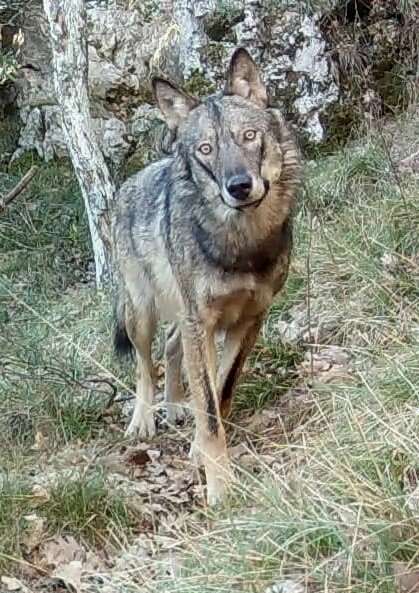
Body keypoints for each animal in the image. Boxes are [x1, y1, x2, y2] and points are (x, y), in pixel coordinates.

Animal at [112, 49, 302, 504]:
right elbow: (210, 409)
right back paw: (144, 419)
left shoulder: (251, 319)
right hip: (141, 312)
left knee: (170, 347)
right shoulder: (202, 322)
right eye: (206, 149)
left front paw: (199, 447)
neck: (241, 244)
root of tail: (129, 182)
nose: (239, 186)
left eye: (248, 136)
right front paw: (221, 487)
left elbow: (221, 389)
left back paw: (174, 407)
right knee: (144, 364)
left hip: (182, 315)